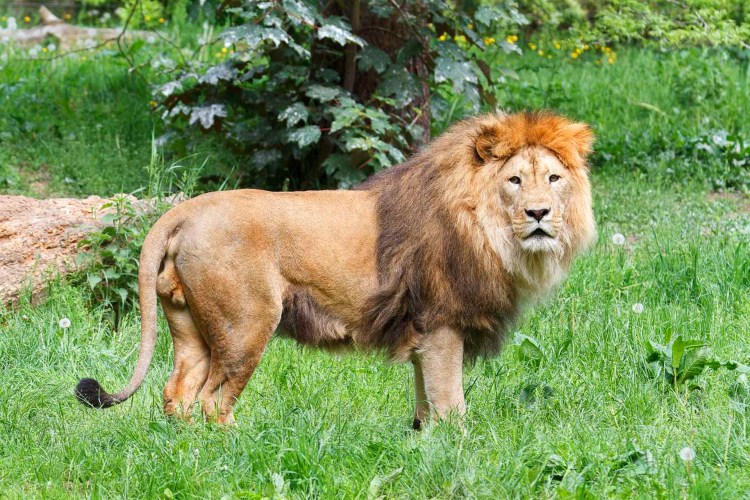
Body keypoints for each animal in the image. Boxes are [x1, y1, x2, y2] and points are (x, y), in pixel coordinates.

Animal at [75, 111, 596, 428]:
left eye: (554, 178)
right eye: (515, 180)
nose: (539, 214)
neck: (490, 233)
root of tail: (184, 210)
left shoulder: (423, 335)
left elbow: (425, 401)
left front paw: (422, 442)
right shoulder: (441, 324)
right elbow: (451, 403)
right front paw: (457, 451)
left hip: (192, 325)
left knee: (178, 393)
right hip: (246, 325)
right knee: (212, 400)